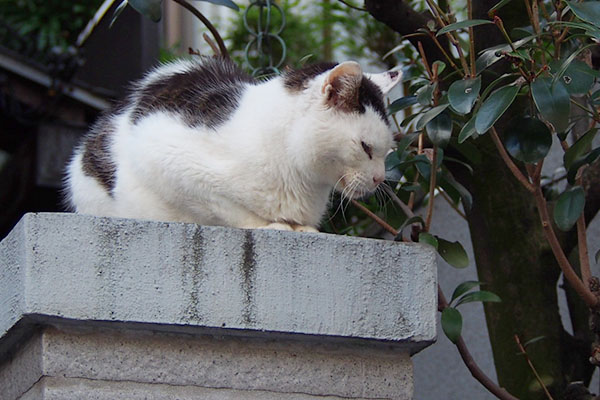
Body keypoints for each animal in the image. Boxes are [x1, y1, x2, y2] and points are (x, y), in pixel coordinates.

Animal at [64, 56, 404, 231]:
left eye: (388, 150)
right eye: (365, 147)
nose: (379, 179)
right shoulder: (164, 157)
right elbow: (222, 206)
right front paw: (272, 224)